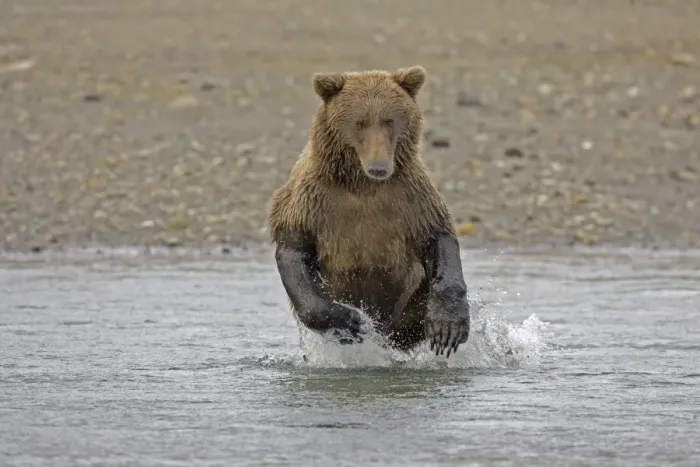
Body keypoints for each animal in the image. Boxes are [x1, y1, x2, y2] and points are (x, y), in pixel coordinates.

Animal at [267, 65, 470, 358]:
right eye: (359, 122)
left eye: (389, 121)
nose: (379, 167)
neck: (363, 185)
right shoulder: (311, 203)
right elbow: (294, 250)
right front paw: (350, 321)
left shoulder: (412, 198)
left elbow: (437, 237)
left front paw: (447, 327)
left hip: (407, 307)